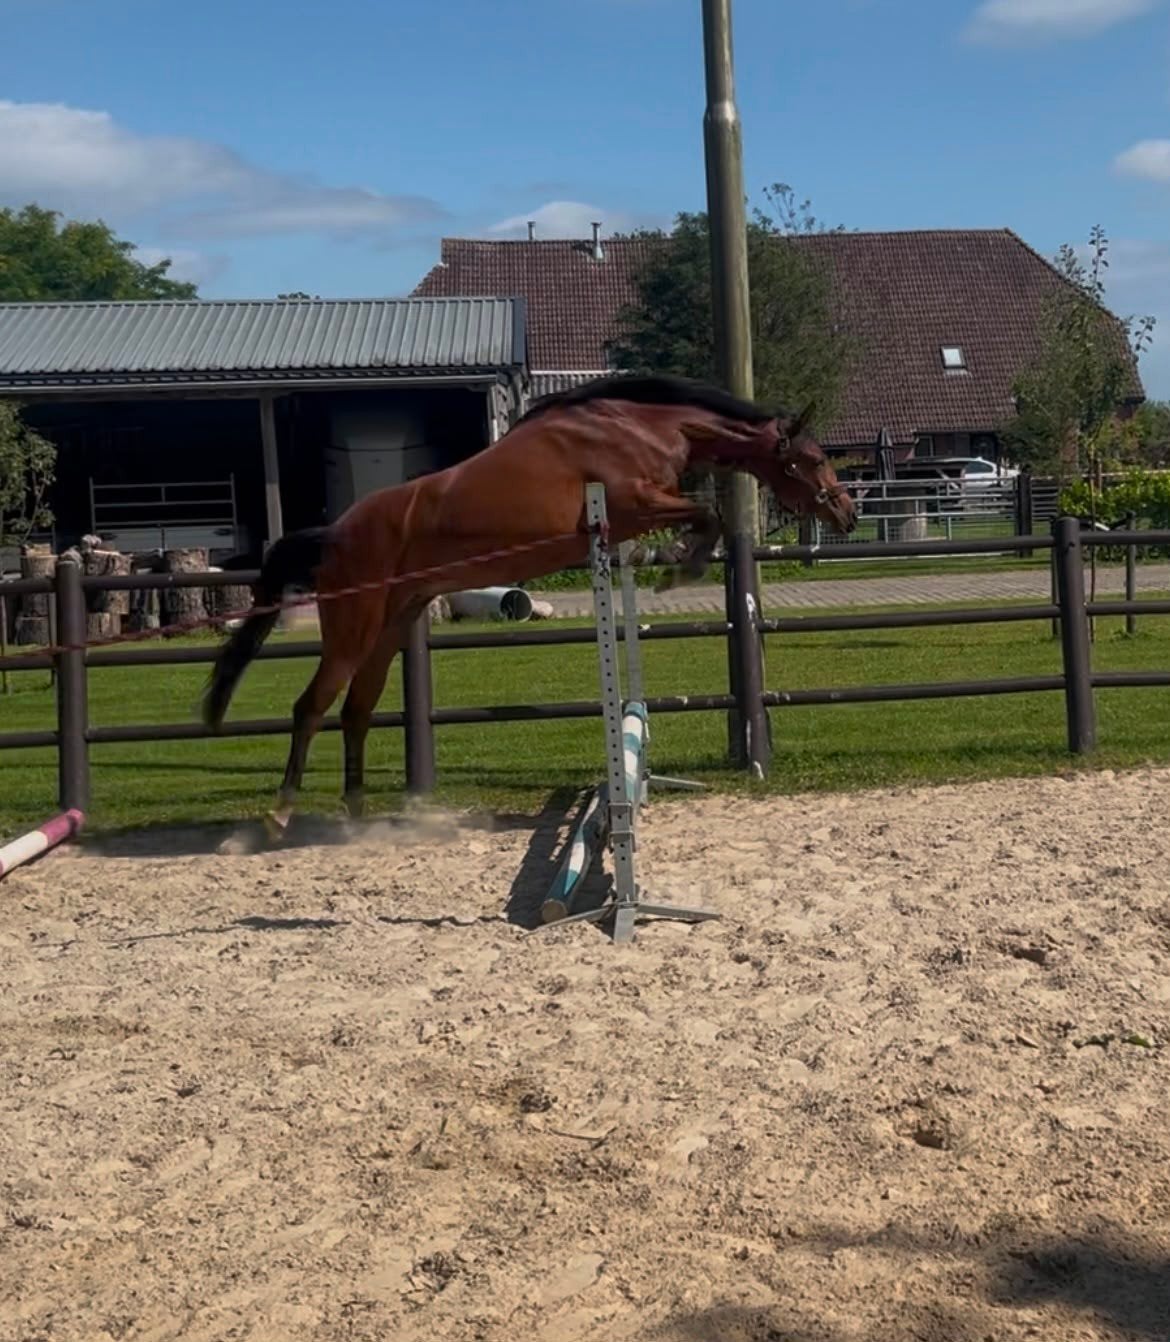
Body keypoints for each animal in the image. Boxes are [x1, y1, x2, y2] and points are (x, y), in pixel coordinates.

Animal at [202, 373, 857, 836]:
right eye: (814, 458)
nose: (847, 514)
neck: (637, 426)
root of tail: (334, 533)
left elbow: (705, 517)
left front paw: (674, 562)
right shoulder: (633, 503)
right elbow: (708, 515)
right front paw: (681, 566)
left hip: (389, 629)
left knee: (356, 712)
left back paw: (359, 820)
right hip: (353, 627)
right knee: (311, 706)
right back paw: (281, 815)